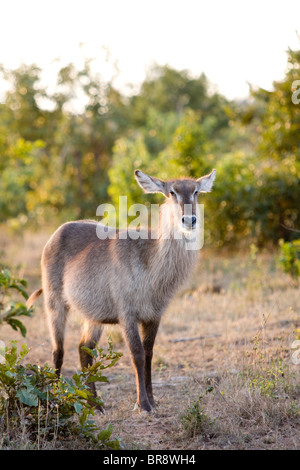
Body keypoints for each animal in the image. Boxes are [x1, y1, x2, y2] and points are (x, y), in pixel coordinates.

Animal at [27, 168, 216, 412]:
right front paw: (142, 404)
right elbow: (137, 354)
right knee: (58, 351)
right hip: (54, 302)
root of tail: (61, 229)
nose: (189, 219)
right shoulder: (127, 314)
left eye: (196, 191)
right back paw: (56, 399)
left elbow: (149, 354)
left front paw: (152, 400)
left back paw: (95, 405)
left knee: (84, 349)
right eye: (171, 192)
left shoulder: (155, 315)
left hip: (93, 316)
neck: (149, 260)